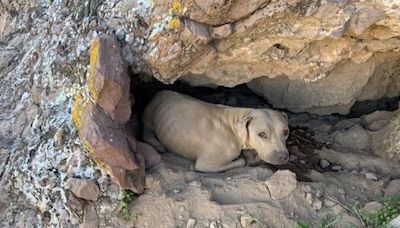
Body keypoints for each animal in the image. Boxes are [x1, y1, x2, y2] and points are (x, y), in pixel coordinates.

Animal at [142, 90, 290, 172]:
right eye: (262, 134)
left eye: (286, 132)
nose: (283, 156)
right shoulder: (206, 164)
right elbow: (241, 162)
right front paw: (244, 159)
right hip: (150, 114)